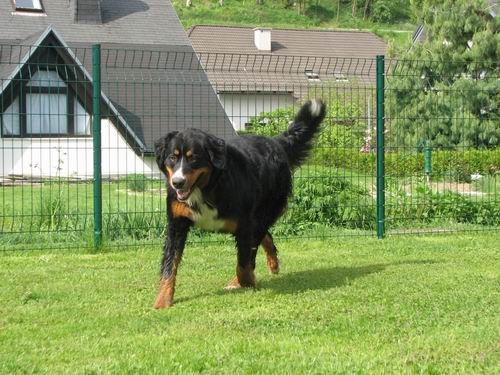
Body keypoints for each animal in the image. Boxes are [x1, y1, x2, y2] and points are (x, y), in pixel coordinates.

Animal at [152, 98, 326, 310]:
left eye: (194, 158)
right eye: (172, 157)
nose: (177, 182)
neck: (207, 187)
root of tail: (276, 142)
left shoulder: (244, 224)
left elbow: (243, 263)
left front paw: (246, 282)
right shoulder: (177, 224)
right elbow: (170, 264)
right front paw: (162, 300)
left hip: (264, 212)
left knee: (257, 243)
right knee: (265, 237)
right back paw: (273, 263)